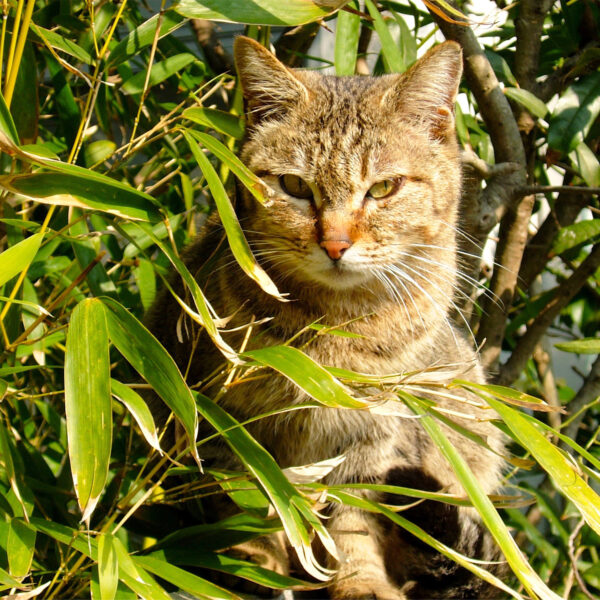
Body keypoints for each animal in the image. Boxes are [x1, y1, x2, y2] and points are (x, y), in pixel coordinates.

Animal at [146, 37, 506, 600]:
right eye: (295, 185)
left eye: (383, 189)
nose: (335, 243)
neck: (337, 328)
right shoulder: (225, 422)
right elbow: (251, 512)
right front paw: (251, 572)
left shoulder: (375, 438)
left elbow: (351, 522)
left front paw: (360, 581)